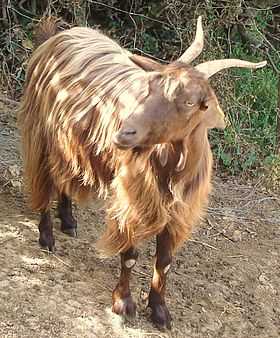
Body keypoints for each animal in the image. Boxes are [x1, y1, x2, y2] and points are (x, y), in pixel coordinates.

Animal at [18, 17, 266, 328]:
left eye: (189, 102)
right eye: (150, 87)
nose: (124, 133)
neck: (171, 167)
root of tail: (60, 35)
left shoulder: (178, 211)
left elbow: (165, 261)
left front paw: (160, 311)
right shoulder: (135, 200)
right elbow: (130, 255)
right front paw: (123, 304)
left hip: (71, 144)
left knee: (64, 174)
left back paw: (69, 220)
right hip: (41, 132)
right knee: (44, 178)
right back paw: (47, 237)